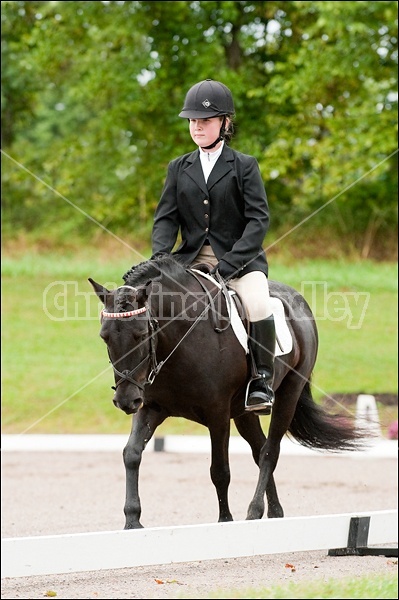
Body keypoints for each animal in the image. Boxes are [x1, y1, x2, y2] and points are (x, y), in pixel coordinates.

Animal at [89, 255, 368, 528]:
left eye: (141, 334)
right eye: (104, 337)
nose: (125, 401)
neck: (178, 341)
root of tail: (298, 301)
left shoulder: (218, 412)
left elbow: (220, 470)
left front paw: (225, 521)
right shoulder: (151, 407)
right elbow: (131, 454)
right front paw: (132, 520)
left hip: (289, 393)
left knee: (269, 452)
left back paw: (254, 511)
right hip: (244, 412)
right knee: (259, 449)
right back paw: (275, 513)